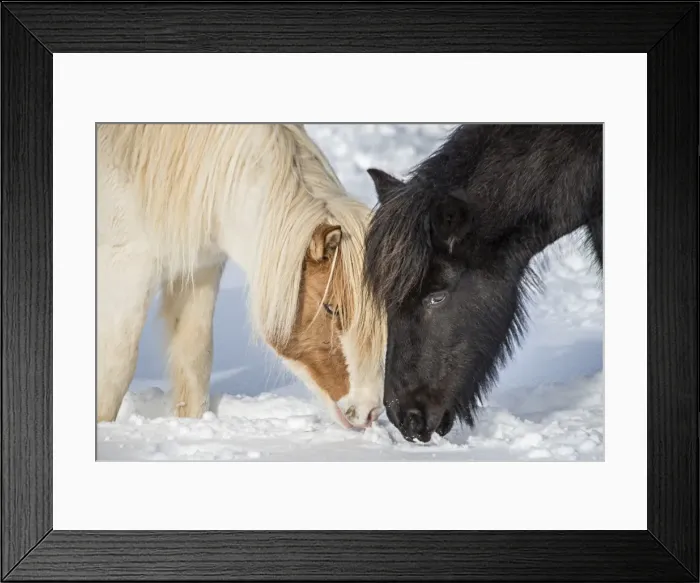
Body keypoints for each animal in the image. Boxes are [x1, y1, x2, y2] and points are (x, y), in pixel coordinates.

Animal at [96, 123, 387, 429]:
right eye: (331, 308)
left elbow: (194, 361)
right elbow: (116, 369)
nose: (369, 410)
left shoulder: (200, 271)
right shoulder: (127, 265)